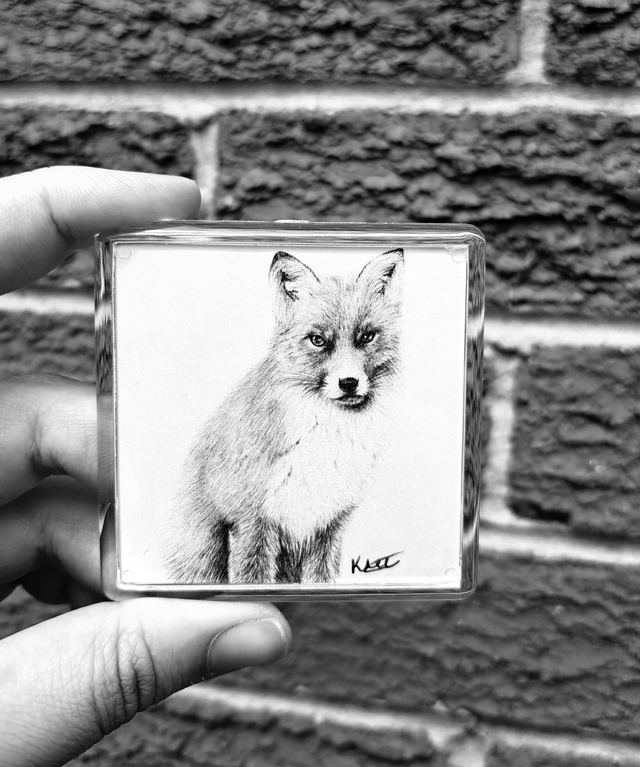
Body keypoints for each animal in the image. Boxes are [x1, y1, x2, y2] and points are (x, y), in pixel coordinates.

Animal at [167, 246, 404, 585]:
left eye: (367, 337)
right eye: (318, 340)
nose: (348, 383)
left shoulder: (327, 527)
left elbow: (321, 577)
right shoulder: (252, 523)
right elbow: (253, 578)